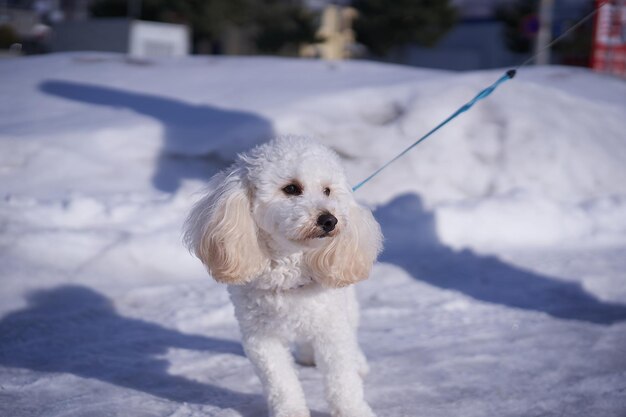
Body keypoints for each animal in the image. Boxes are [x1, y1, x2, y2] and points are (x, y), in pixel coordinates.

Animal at [183, 135, 382, 414]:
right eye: (291, 188)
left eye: (327, 190)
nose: (329, 220)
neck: (289, 269)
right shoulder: (261, 338)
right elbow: (281, 383)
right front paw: (290, 411)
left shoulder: (331, 329)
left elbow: (343, 381)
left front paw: (354, 411)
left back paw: (358, 361)